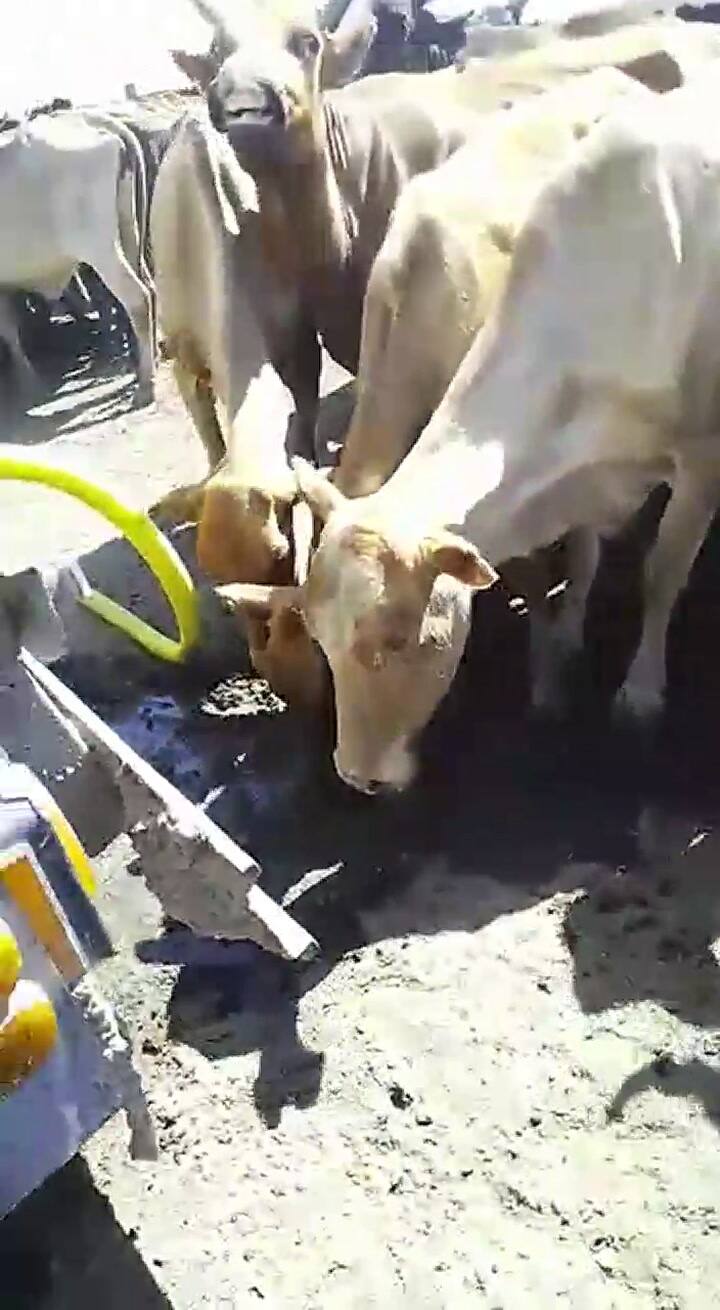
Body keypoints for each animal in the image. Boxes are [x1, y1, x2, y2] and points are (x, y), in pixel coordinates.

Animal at [252, 62, 720, 792]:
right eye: (318, 637)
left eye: (393, 640)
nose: (357, 777)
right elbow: (581, 555)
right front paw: (567, 637)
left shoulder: (700, 461)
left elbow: (660, 574)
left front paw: (632, 693)